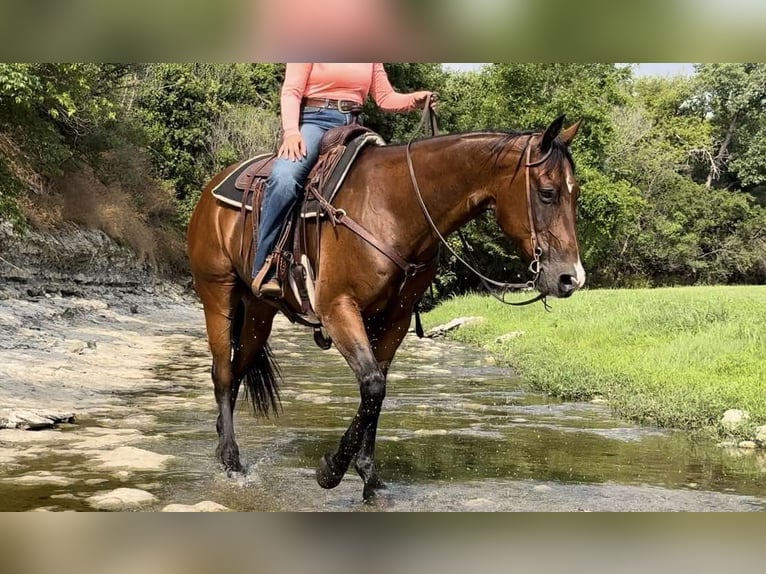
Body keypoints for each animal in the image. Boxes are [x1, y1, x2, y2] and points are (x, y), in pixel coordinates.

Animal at [186, 115, 585, 499]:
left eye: (575, 192)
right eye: (547, 193)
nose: (571, 278)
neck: (395, 208)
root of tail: (212, 189)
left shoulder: (395, 319)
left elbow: (377, 390)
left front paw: (369, 477)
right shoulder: (338, 309)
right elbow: (373, 385)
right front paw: (330, 470)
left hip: (259, 312)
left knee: (238, 369)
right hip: (217, 295)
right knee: (223, 373)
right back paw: (232, 462)